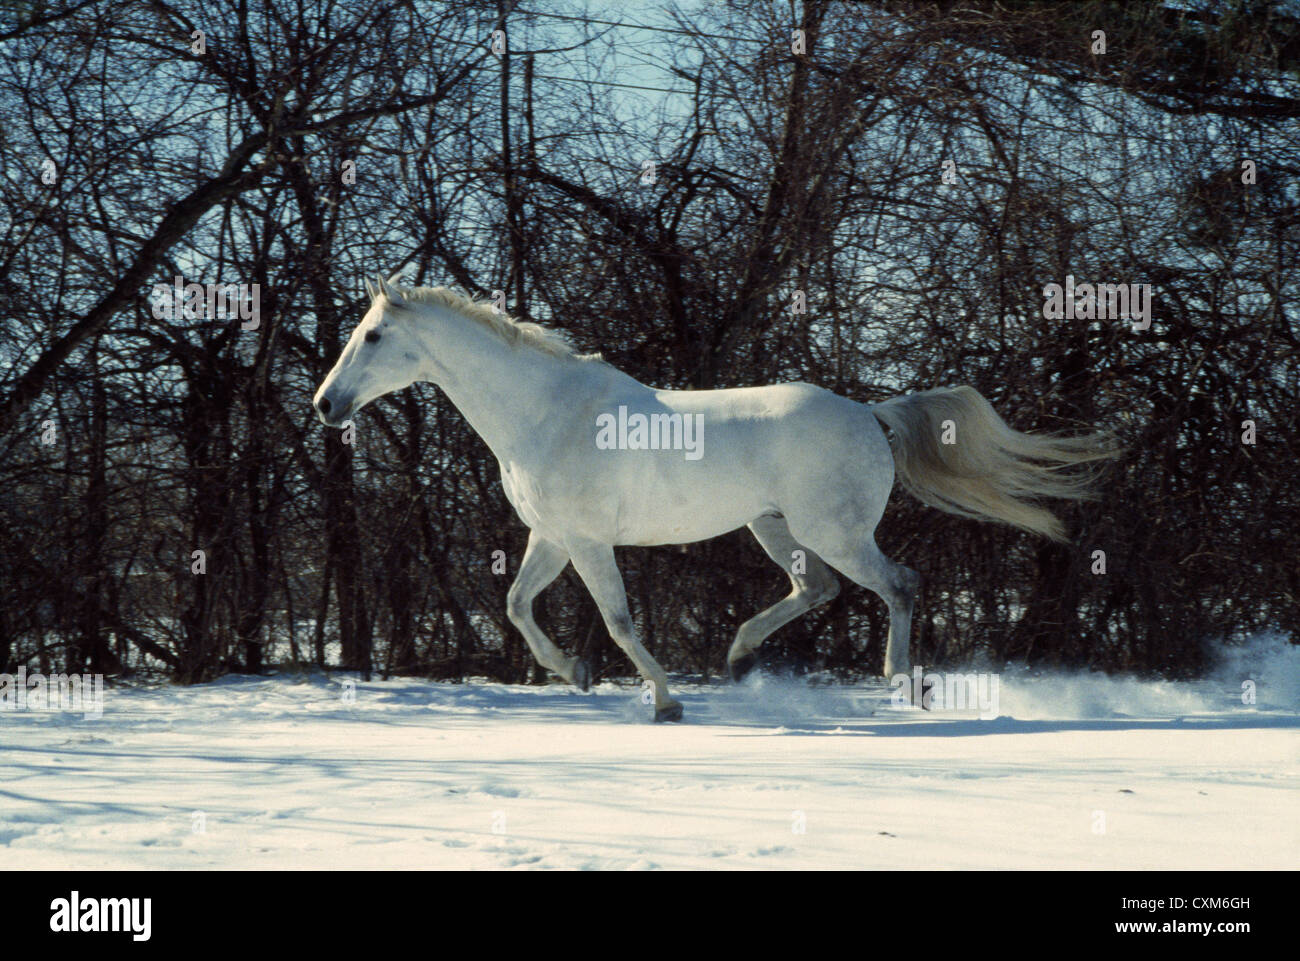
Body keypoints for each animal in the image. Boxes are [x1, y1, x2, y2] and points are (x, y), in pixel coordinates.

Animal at [314, 274, 1117, 722]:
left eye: (373, 335)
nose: (325, 405)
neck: (545, 412)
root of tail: (869, 413)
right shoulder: (553, 537)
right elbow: (515, 606)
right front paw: (576, 675)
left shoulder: (588, 542)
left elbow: (618, 620)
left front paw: (667, 703)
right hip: (775, 528)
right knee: (816, 589)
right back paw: (738, 655)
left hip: (834, 531)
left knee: (900, 585)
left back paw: (900, 684)